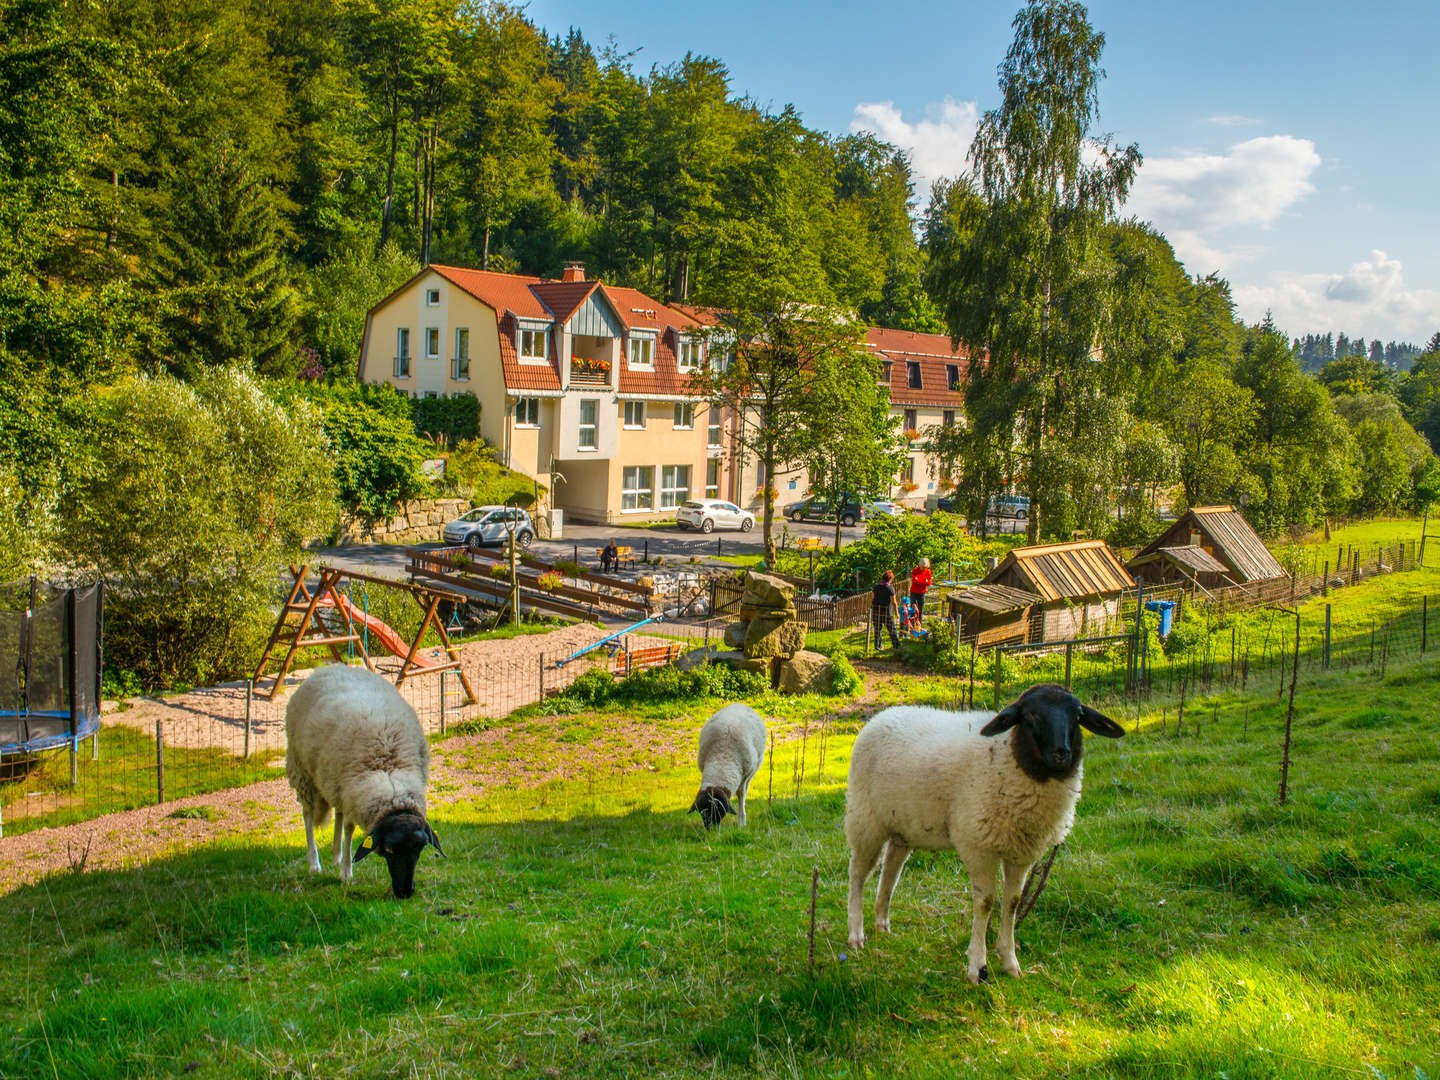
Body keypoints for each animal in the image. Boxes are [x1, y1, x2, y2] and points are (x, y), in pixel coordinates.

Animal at [279, 665, 437, 898]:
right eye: (389, 850)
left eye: (420, 849)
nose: (405, 892)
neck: (388, 771)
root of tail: (326, 667)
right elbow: (349, 829)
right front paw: (346, 873)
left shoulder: (351, 789)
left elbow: (345, 824)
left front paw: (342, 863)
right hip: (302, 770)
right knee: (308, 815)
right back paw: (314, 863)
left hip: (336, 781)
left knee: (338, 812)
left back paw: (336, 854)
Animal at [691, 705, 771, 835]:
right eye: (702, 813)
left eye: (719, 812)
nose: (711, 831)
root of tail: (740, 704)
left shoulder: (744, 775)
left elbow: (741, 794)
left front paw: (741, 822)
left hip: (756, 766)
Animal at [840, 688, 1123, 984]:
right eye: (1030, 715)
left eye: (1077, 715)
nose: (1061, 754)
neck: (1007, 756)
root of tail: (884, 714)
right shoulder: (977, 844)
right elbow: (986, 902)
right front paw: (978, 966)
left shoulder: (1022, 852)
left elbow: (1012, 902)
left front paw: (1009, 961)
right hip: (865, 820)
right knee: (857, 874)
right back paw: (856, 934)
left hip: (901, 828)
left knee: (891, 870)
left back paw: (882, 923)